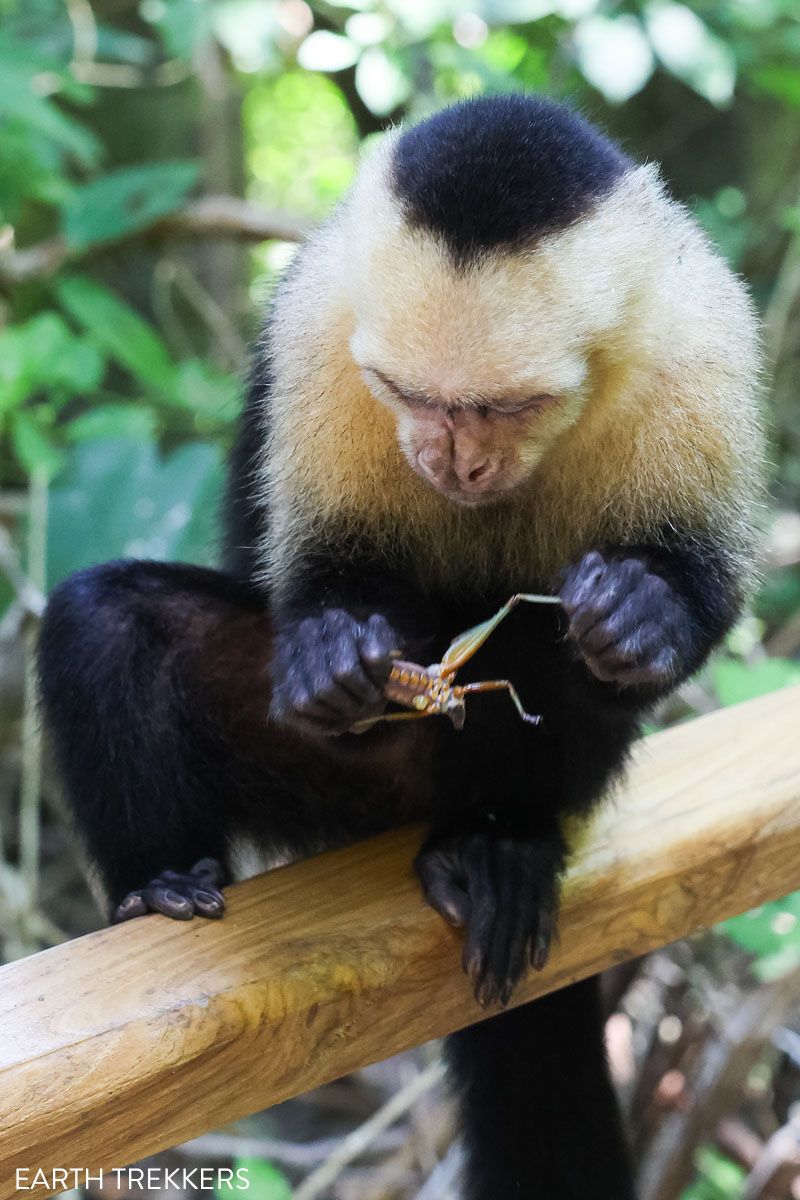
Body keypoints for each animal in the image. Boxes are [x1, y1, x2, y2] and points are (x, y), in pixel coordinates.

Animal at [38, 94, 764, 1199]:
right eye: (409, 396)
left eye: (504, 407)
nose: (448, 460)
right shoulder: (316, 326)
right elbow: (316, 566)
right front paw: (335, 645)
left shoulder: (704, 340)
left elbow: (696, 588)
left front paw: (644, 610)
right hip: (316, 783)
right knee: (103, 619)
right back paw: (159, 881)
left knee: (540, 649)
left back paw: (494, 846)